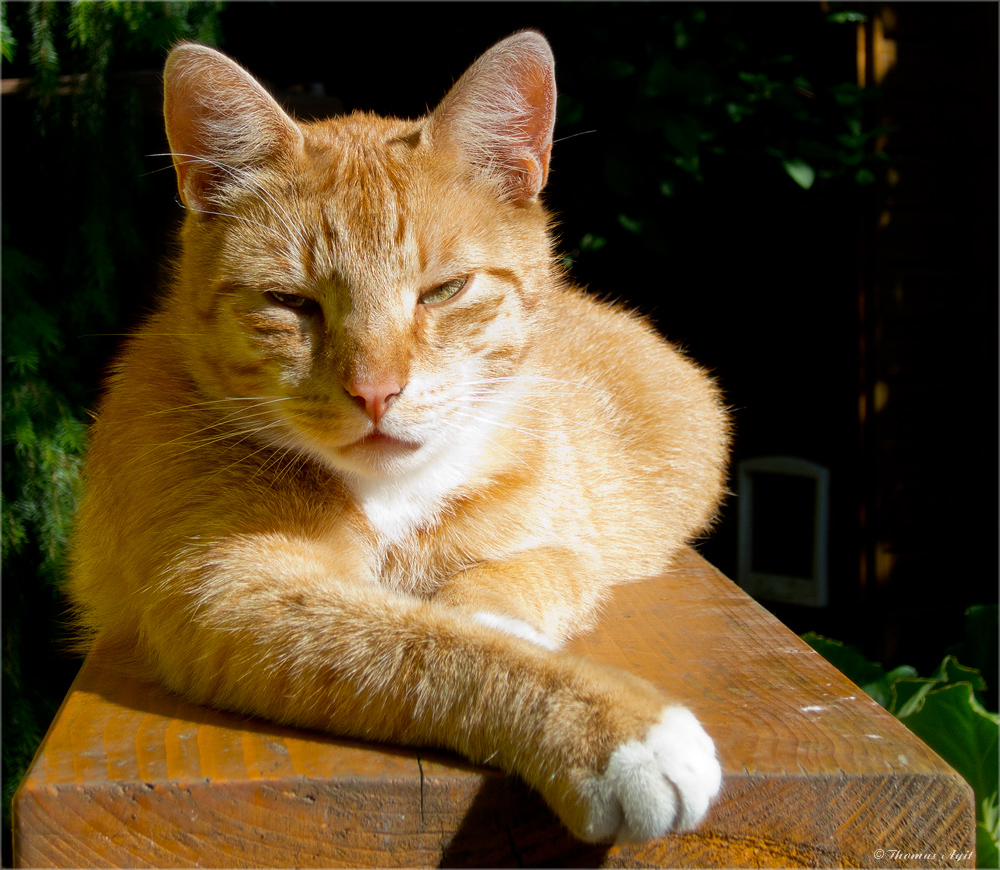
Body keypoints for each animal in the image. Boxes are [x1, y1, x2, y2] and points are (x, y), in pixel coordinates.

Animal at [68, 34, 728, 844]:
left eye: (445, 290)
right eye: (290, 302)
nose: (376, 391)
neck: (390, 496)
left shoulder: (568, 552)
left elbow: (495, 595)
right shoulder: (224, 590)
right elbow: (415, 641)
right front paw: (619, 732)